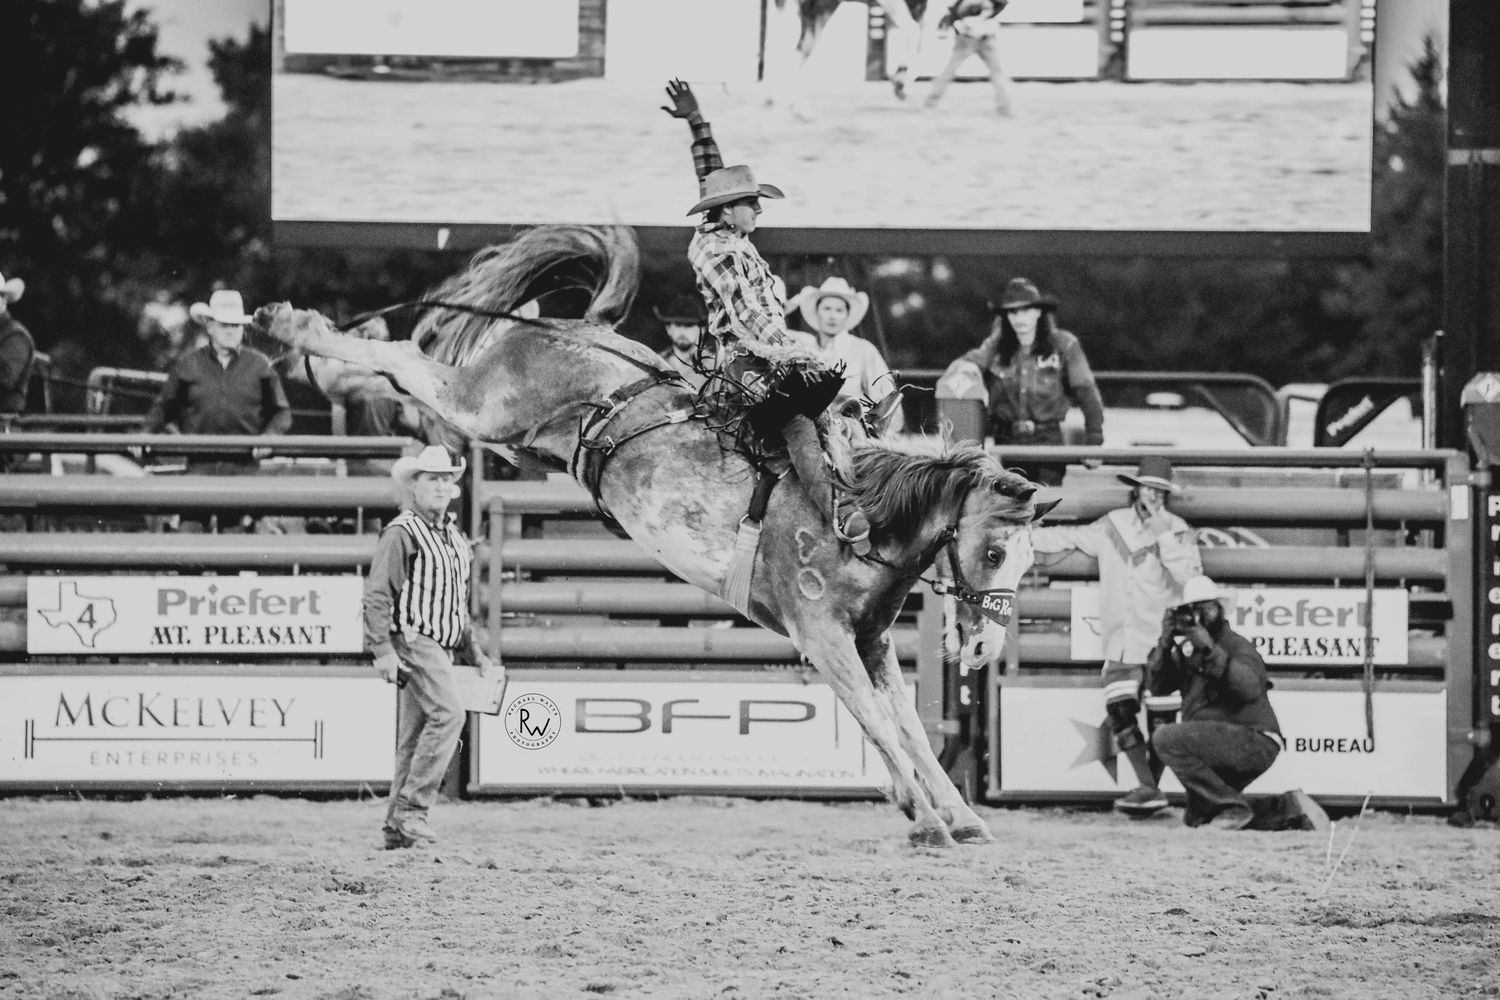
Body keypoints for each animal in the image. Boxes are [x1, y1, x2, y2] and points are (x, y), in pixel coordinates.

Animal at [255, 225, 1055, 848]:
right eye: (992, 551)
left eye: (1028, 560)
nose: (983, 648)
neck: (856, 513)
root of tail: (568, 328)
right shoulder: (824, 639)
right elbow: (878, 726)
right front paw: (925, 818)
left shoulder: (872, 641)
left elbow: (911, 727)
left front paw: (959, 815)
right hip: (482, 405)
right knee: (401, 359)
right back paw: (292, 329)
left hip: (501, 427)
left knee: (402, 372)